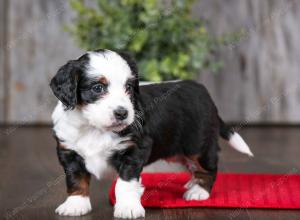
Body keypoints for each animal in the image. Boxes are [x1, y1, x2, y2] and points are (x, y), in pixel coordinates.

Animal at [49, 49, 253, 219]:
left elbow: (125, 183)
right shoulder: (69, 151)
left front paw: (128, 208)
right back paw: (192, 183)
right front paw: (75, 204)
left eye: (129, 88)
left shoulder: (135, 148)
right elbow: (76, 179)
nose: (123, 113)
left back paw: (198, 190)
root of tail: (203, 92)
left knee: (208, 168)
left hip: (199, 145)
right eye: (98, 88)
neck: (95, 127)